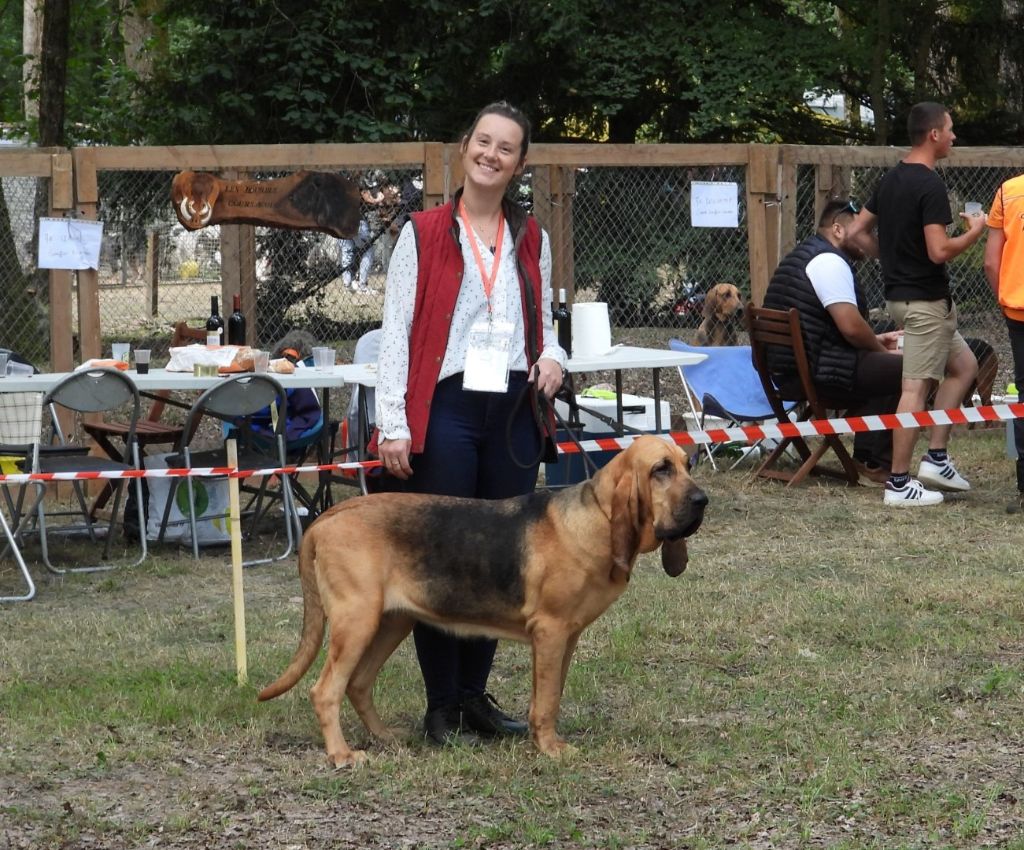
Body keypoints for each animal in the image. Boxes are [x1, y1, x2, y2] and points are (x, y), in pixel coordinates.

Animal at [258, 436, 704, 770]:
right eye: (660, 469)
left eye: (688, 463)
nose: (703, 501)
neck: (597, 517)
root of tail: (325, 518)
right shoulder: (551, 631)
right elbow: (546, 701)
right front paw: (550, 749)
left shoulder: (566, 638)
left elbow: (550, 695)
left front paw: (543, 739)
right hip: (357, 622)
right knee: (325, 690)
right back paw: (341, 754)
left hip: (391, 622)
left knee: (359, 683)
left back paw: (385, 737)